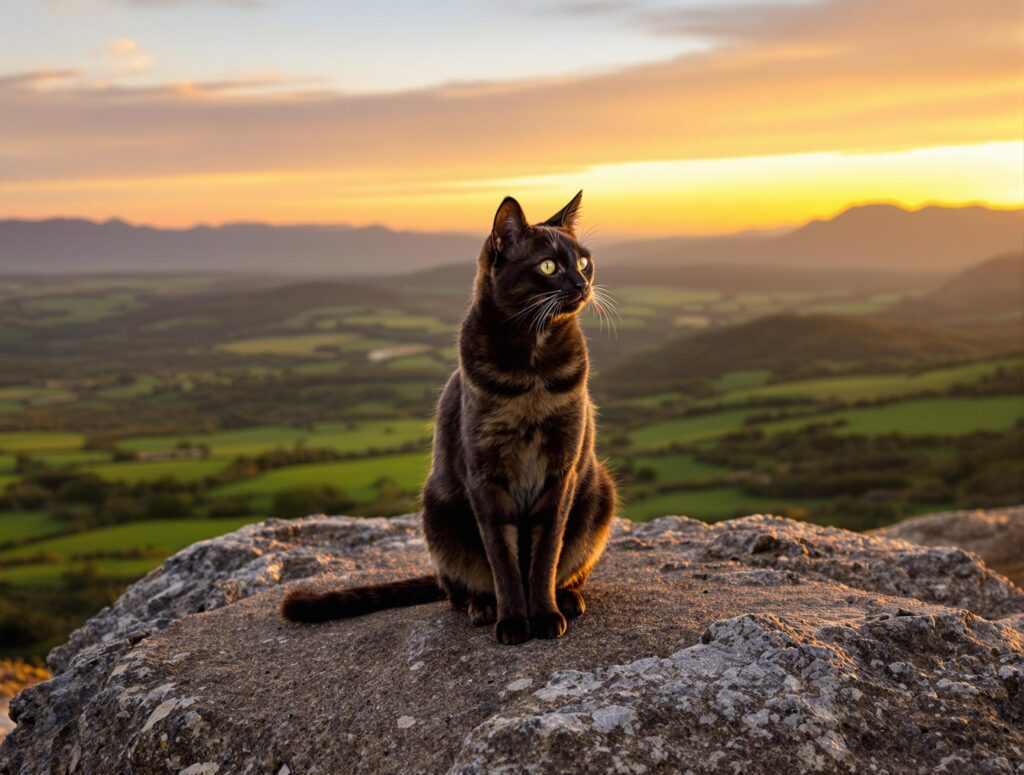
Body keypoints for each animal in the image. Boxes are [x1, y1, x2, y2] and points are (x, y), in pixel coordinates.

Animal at [280, 190, 614, 642]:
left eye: (582, 261)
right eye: (548, 266)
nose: (582, 284)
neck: (533, 368)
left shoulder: (562, 473)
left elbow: (545, 556)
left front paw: (544, 614)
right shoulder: (484, 476)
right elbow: (504, 561)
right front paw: (514, 621)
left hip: (598, 492)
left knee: (570, 567)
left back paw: (569, 598)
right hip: (437, 511)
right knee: (459, 589)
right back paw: (483, 606)